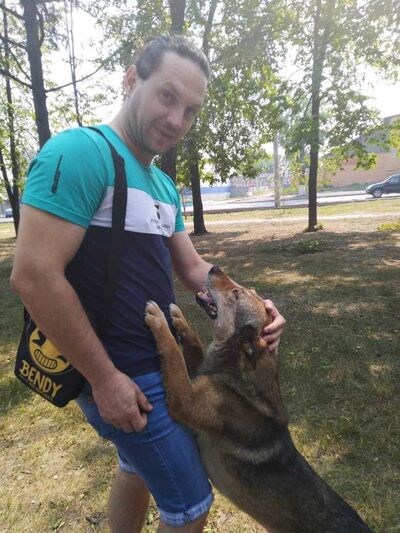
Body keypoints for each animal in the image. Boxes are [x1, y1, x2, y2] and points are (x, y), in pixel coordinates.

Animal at [144, 266, 373, 532]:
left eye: (236, 294)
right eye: (243, 290)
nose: (214, 267)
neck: (238, 376)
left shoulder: (186, 399)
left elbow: (172, 354)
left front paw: (159, 320)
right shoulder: (198, 376)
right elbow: (193, 344)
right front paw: (179, 320)